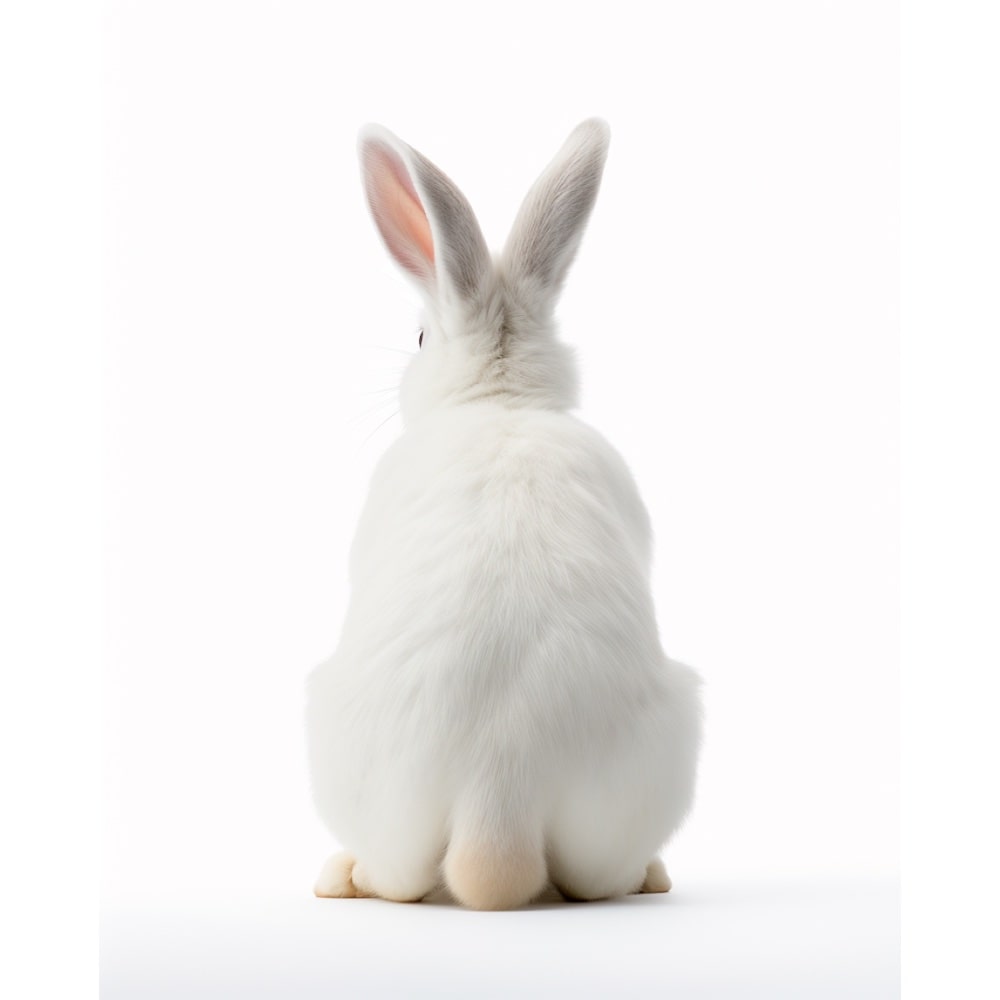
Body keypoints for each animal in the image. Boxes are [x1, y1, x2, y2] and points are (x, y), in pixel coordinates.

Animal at [306, 119, 702, 910]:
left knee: (396, 880)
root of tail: (499, 801)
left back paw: (341, 875)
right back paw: (652, 875)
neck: (501, 399)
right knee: (593, 879)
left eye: (421, 338)